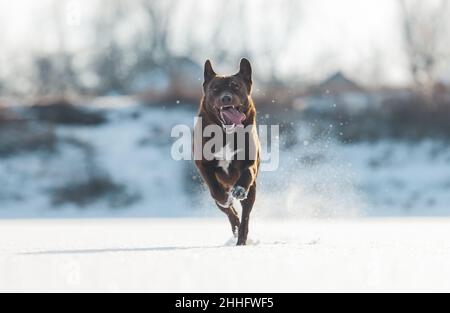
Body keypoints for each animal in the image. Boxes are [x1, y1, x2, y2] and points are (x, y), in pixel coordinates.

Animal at [193, 58, 260, 244]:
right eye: (215, 88)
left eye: (235, 86)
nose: (226, 98)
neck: (226, 133)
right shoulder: (203, 164)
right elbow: (216, 191)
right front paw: (225, 198)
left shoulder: (250, 162)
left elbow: (247, 173)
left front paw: (239, 190)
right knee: (229, 211)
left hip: (252, 192)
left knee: (245, 215)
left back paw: (241, 240)